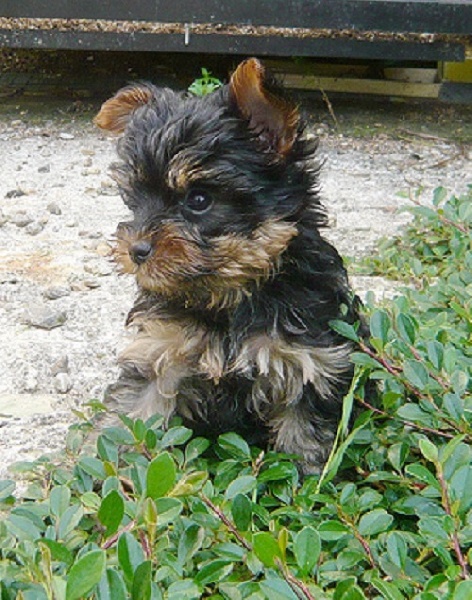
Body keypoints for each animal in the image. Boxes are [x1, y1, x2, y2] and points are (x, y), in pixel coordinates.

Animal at [94, 58, 364, 476]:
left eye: (198, 199)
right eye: (135, 200)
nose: (136, 250)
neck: (229, 294)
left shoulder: (309, 365)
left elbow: (304, 442)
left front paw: (308, 488)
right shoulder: (159, 354)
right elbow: (132, 417)